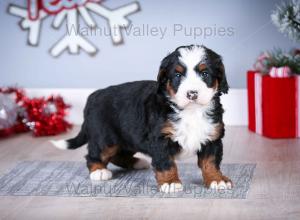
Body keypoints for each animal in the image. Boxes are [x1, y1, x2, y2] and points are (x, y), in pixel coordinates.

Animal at [51, 44, 232, 192]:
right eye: (178, 76)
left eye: (205, 73)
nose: (192, 93)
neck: (190, 111)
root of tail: (94, 96)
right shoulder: (160, 139)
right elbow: (166, 162)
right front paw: (170, 182)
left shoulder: (212, 137)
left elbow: (210, 161)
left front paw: (216, 179)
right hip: (105, 137)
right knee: (95, 154)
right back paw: (99, 171)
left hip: (127, 137)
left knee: (119, 154)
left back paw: (137, 162)